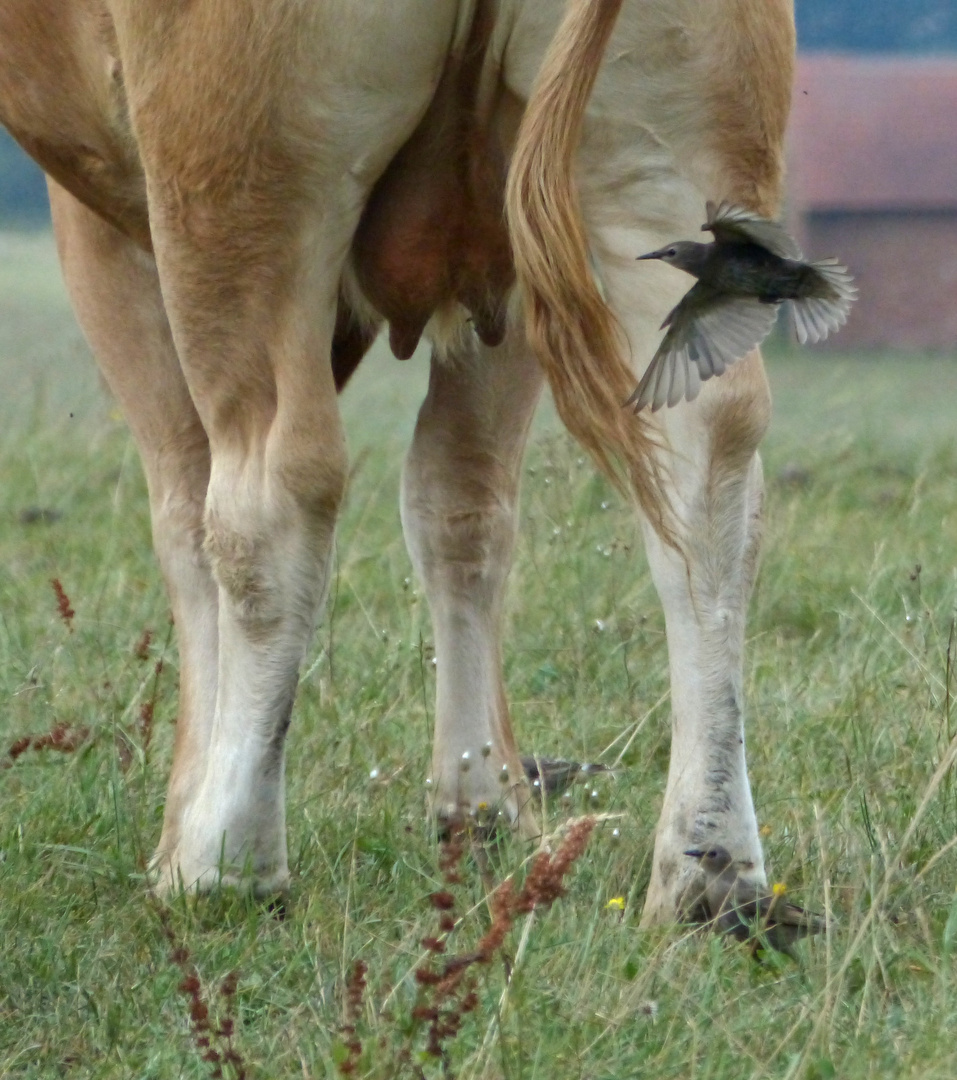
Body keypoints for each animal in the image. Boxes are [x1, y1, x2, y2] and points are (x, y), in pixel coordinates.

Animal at [0, 2, 794, 928]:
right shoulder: (512, 276)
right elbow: (461, 502)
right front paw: (479, 803)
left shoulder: (98, 227)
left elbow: (183, 517)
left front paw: (183, 819)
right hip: (662, 162)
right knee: (706, 460)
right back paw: (711, 874)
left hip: (240, 187)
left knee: (269, 495)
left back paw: (224, 862)